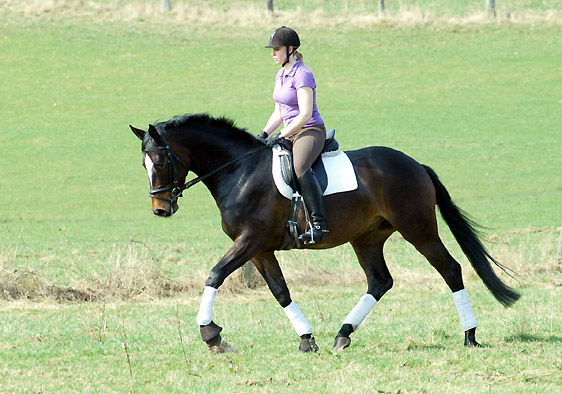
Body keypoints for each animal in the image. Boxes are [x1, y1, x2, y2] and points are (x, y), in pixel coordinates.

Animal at [129, 113, 520, 354]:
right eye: (143, 163)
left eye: (160, 160)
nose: (161, 209)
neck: (239, 171)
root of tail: (415, 165)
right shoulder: (259, 249)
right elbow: (280, 291)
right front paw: (306, 339)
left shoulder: (251, 240)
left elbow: (214, 275)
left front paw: (210, 335)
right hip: (367, 238)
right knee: (380, 281)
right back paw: (342, 335)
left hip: (418, 229)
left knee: (450, 269)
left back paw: (470, 336)